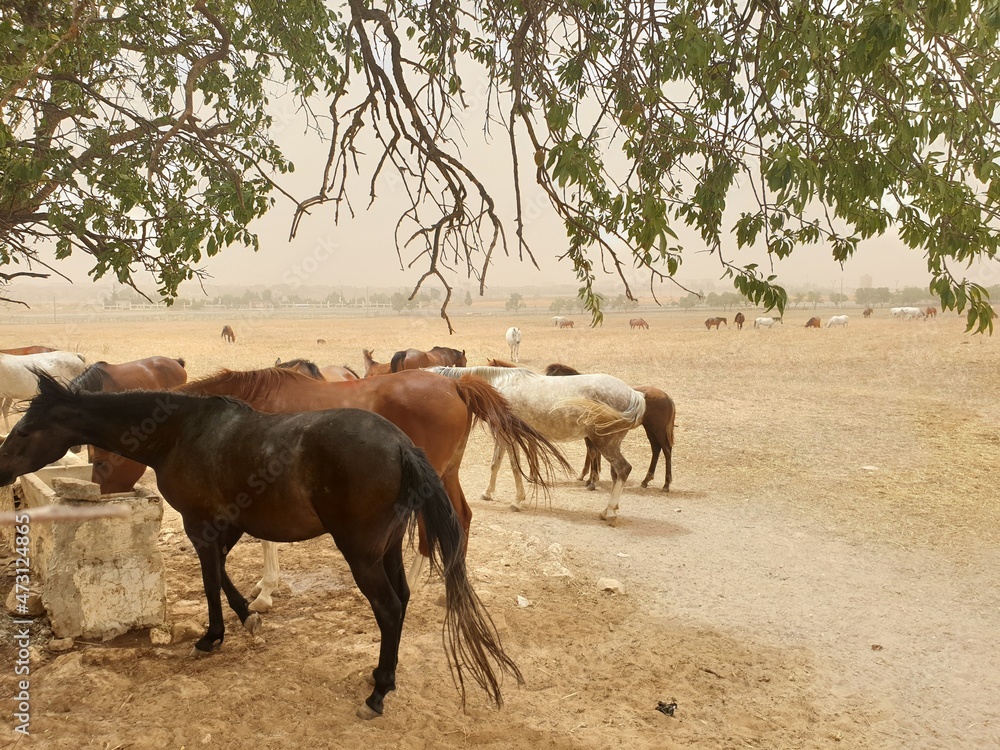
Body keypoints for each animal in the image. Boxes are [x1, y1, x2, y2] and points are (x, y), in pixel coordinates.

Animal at [1, 374, 524, 720]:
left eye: (24, 431)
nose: (2, 469)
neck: (181, 432)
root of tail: (399, 444)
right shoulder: (227, 522)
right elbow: (224, 572)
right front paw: (249, 614)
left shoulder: (200, 524)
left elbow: (211, 577)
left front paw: (213, 635)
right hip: (389, 548)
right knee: (403, 599)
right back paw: (385, 679)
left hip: (362, 555)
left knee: (390, 608)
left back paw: (377, 694)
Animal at [181, 368, 572, 612]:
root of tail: (455, 386)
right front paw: (264, 588)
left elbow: (265, 538)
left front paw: (265, 593)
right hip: (447, 474)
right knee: (461, 517)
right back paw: (449, 588)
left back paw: (413, 585)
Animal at [430, 368, 648, 524]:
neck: (500, 386)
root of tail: (633, 394)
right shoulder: (502, 436)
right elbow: (495, 464)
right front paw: (488, 493)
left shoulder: (511, 437)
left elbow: (514, 467)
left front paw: (517, 501)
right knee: (617, 473)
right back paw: (609, 509)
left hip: (605, 442)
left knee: (623, 469)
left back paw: (609, 512)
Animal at [544, 364, 676, 494]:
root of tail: (667, 397)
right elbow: (593, 453)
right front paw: (589, 479)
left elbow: (593, 453)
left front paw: (592, 481)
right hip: (650, 429)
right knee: (656, 448)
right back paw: (646, 480)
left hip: (658, 429)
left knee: (666, 450)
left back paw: (666, 484)